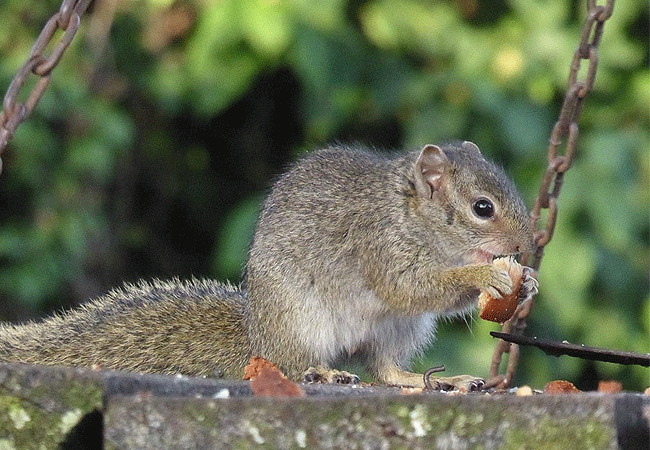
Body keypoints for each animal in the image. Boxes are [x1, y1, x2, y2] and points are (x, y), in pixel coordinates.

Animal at [0, 142, 532, 388]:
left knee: (385, 371)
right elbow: (411, 288)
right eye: (483, 208)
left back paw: (439, 381)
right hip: (300, 322)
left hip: (397, 331)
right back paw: (321, 373)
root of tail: (257, 333)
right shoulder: (380, 246)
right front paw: (487, 276)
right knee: (288, 366)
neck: (413, 215)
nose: (527, 244)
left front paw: (525, 284)